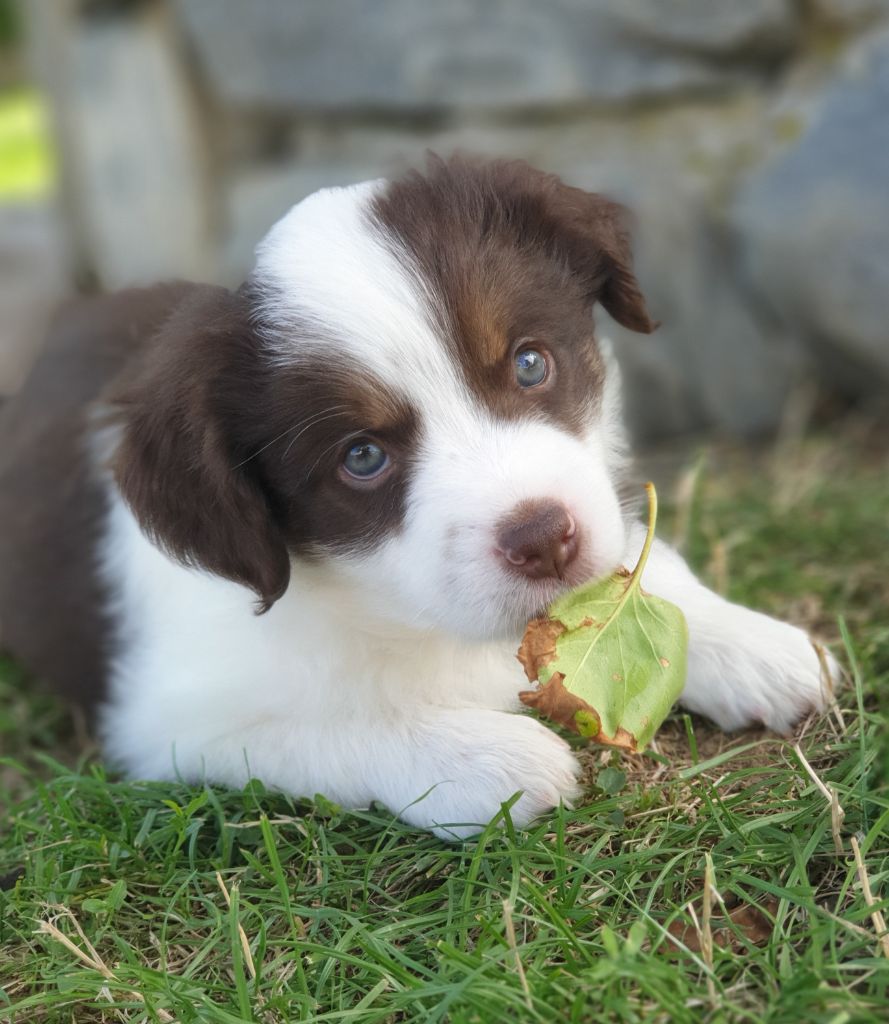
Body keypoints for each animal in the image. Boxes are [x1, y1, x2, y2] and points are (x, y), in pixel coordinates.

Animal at [0, 155, 831, 835]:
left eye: (530, 364)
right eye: (362, 458)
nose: (542, 538)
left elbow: (637, 571)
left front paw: (756, 646)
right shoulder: (174, 722)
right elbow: (337, 725)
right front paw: (490, 761)